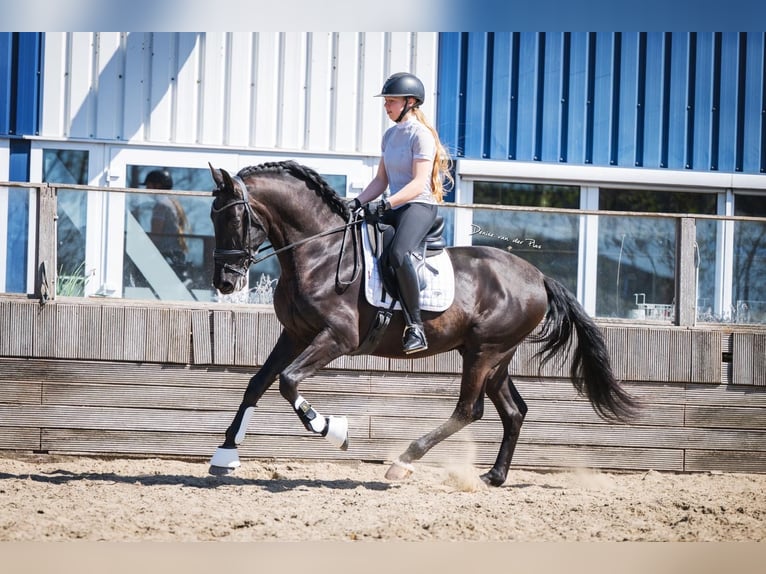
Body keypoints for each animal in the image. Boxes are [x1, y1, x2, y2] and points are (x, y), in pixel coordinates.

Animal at [207, 160, 638, 486]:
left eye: (236, 217)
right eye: (214, 217)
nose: (224, 282)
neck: (321, 252)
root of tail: (538, 277)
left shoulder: (337, 338)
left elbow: (288, 381)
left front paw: (333, 429)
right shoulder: (295, 335)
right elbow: (259, 382)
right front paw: (225, 453)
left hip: (484, 352)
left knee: (469, 410)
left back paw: (404, 460)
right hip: (494, 356)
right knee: (513, 411)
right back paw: (494, 476)